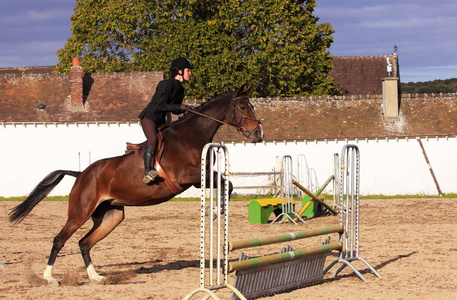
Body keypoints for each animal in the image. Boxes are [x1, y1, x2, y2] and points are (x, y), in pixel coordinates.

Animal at [8, 86, 264, 286]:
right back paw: (49, 278)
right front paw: (213, 211)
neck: (190, 136)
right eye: (243, 107)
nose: (259, 134)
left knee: (84, 243)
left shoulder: (200, 178)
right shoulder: (188, 178)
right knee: (60, 240)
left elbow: (227, 184)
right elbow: (226, 183)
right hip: (80, 212)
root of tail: (81, 174)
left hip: (111, 216)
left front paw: (215, 210)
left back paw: (96, 277)